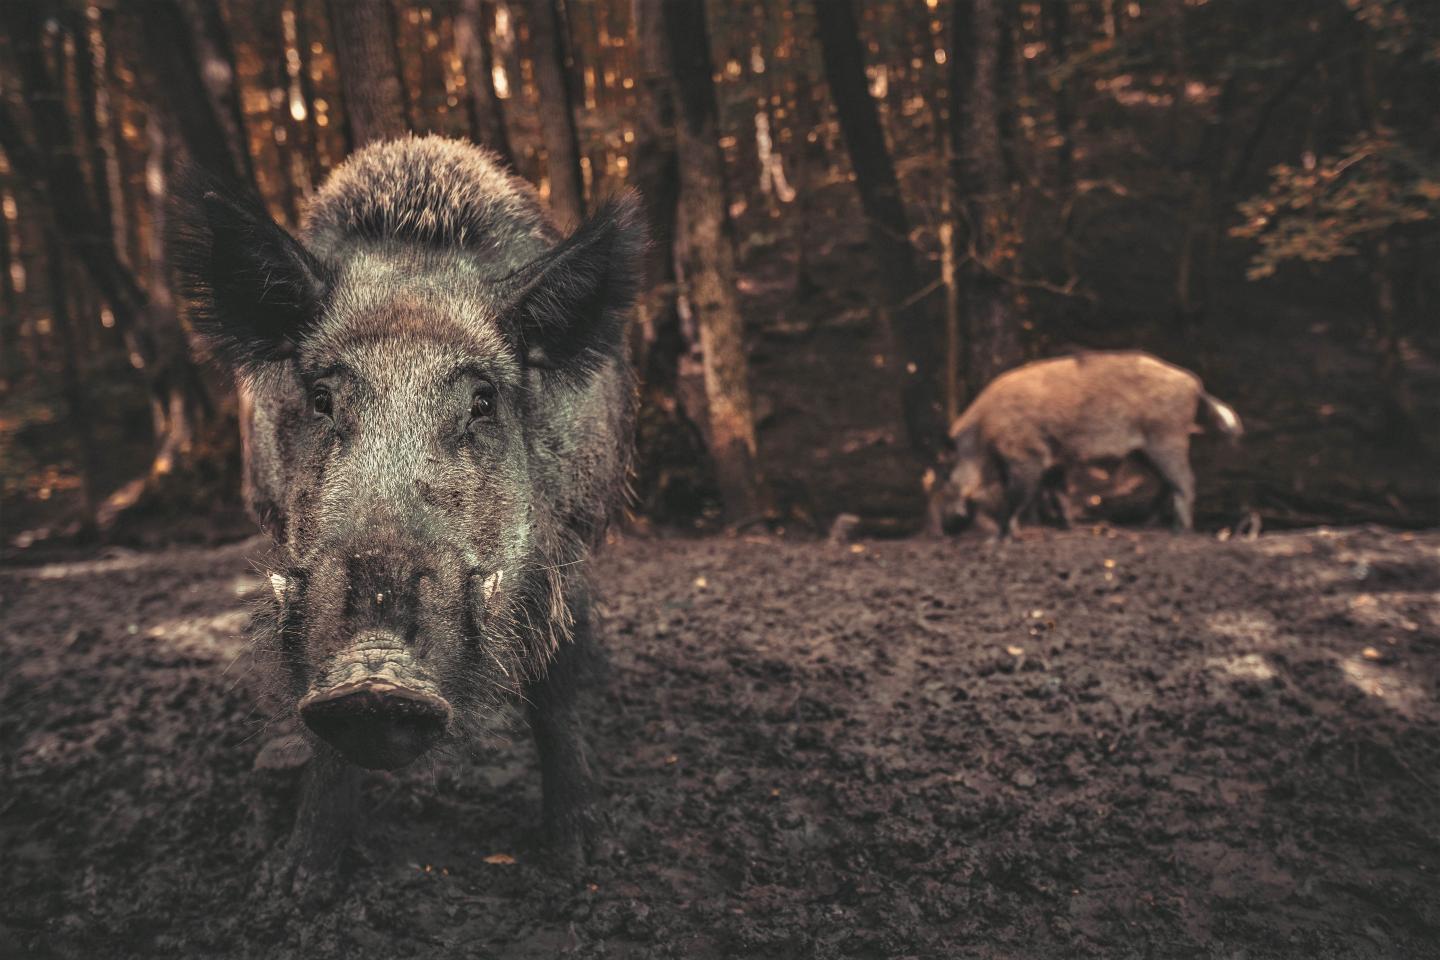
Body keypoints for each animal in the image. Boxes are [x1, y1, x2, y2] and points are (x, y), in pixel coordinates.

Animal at [172, 135, 646, 891]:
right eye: (322, 399)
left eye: (482, 401)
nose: (374, 675)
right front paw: (298, 882)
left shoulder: (570, 532)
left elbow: (556, 681)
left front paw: (583, 864)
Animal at [927, 351, 1242, 537]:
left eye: (945, 475)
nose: (946, 529)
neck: (986, 434)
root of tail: (1194, 384)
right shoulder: (1052, 461)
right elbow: (1058, 493)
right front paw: (1067, 527)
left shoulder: (1029, 457)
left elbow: (1017, 495)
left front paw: (1003, 536)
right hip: (1146, 449)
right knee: (1167, 484)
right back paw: (1147, 524)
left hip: (1166, 437)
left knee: (1185, 481)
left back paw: (1180, 531)